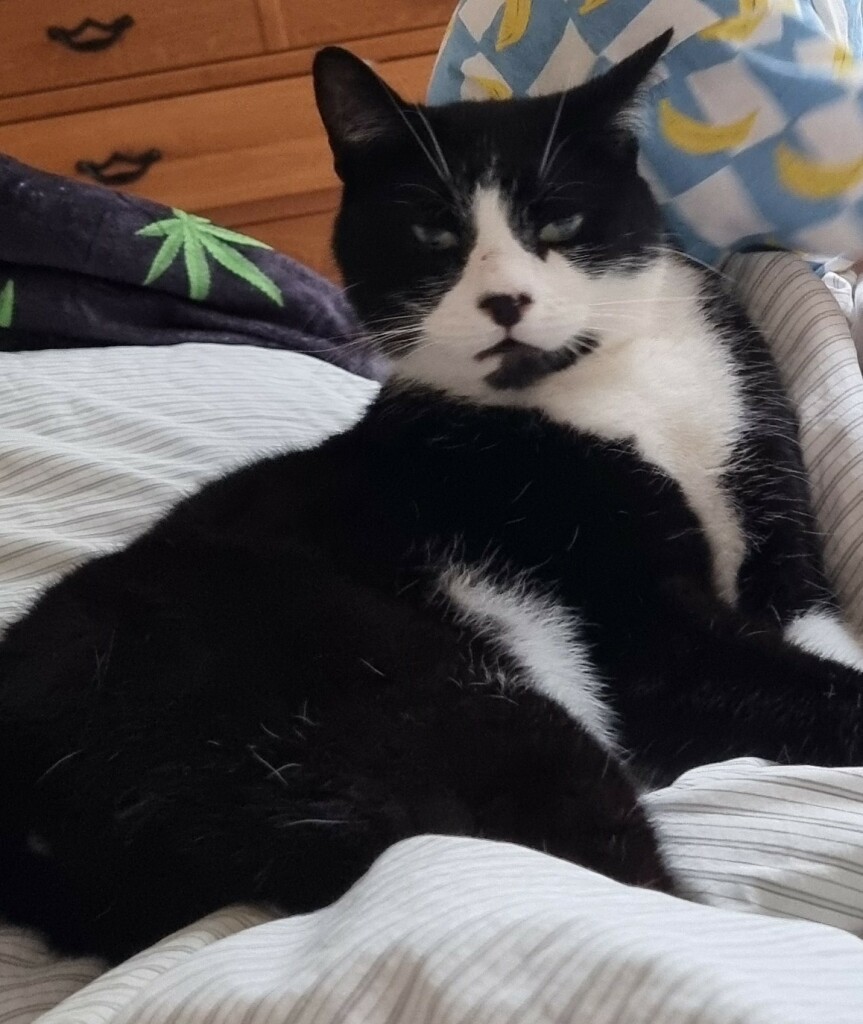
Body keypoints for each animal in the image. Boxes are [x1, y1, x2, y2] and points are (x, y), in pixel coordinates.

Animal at [1, 29, 863, 958]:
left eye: (558, 220)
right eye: (431, 231)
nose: (504, 299)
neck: (609, 386)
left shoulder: (772, 508)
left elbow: (816, 628)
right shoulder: (641, 646)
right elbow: (785, 682)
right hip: (418, 706)